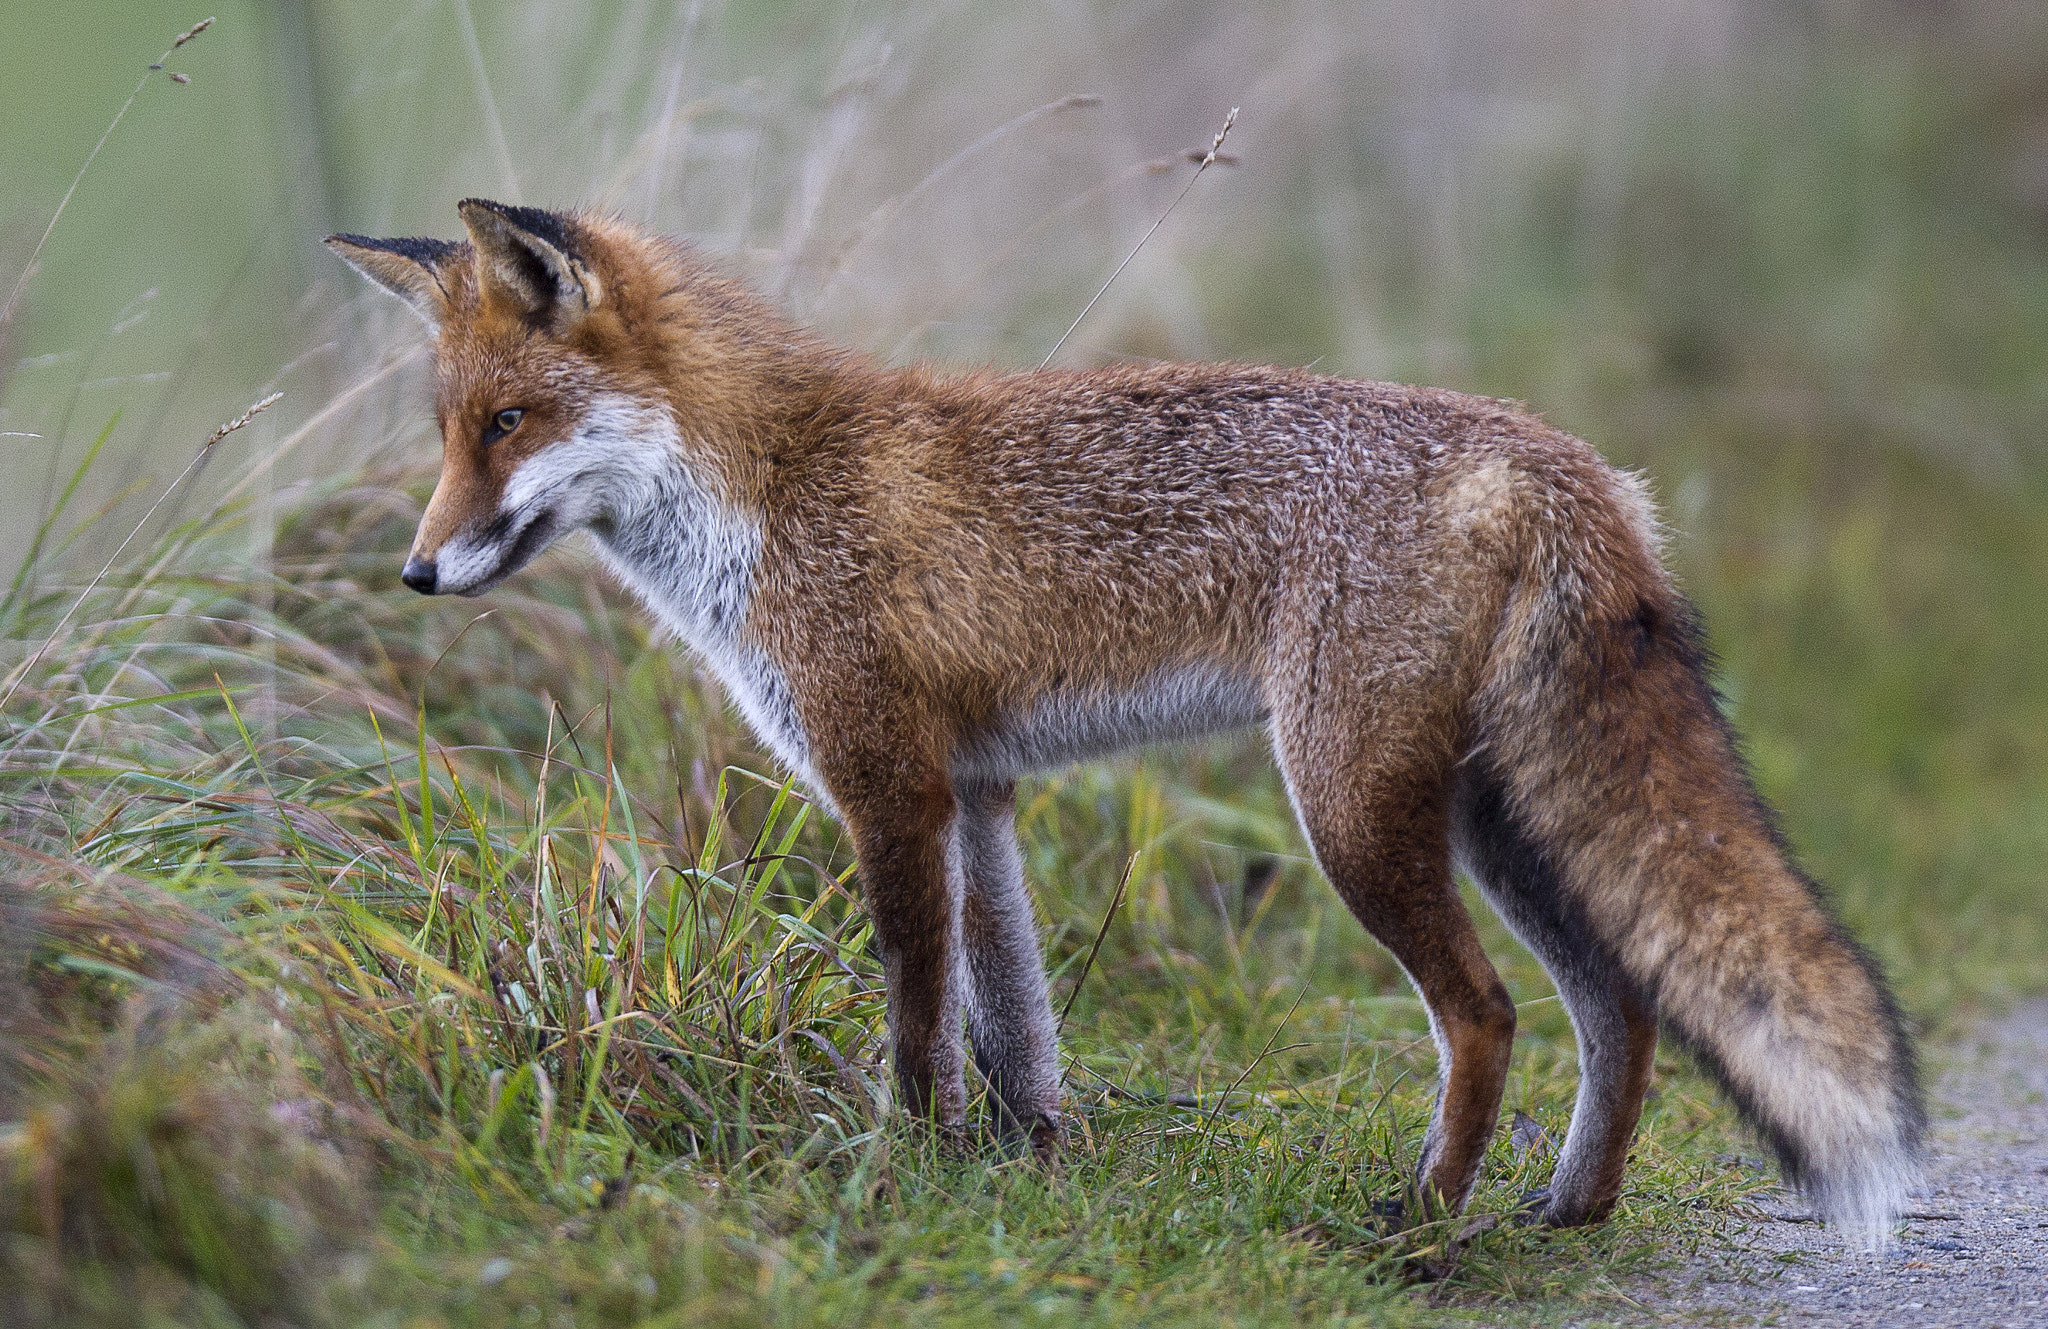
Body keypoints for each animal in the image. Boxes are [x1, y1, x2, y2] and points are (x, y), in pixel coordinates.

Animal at [325, 199, 1922, 1238]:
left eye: (509, 426)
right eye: (447, 433)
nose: (414, 571)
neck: (763, 491)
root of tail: (1556, 458)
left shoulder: (885, 785)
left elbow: (918, 1014)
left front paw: (909, 1169)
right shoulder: (976, 794)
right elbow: (1013, 1020)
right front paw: (1031, 1165)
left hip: (1349, 809)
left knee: (1486, 1012)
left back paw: (1420, 1222)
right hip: (1488, 816)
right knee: (1619, 1002)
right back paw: (1566, 1209)